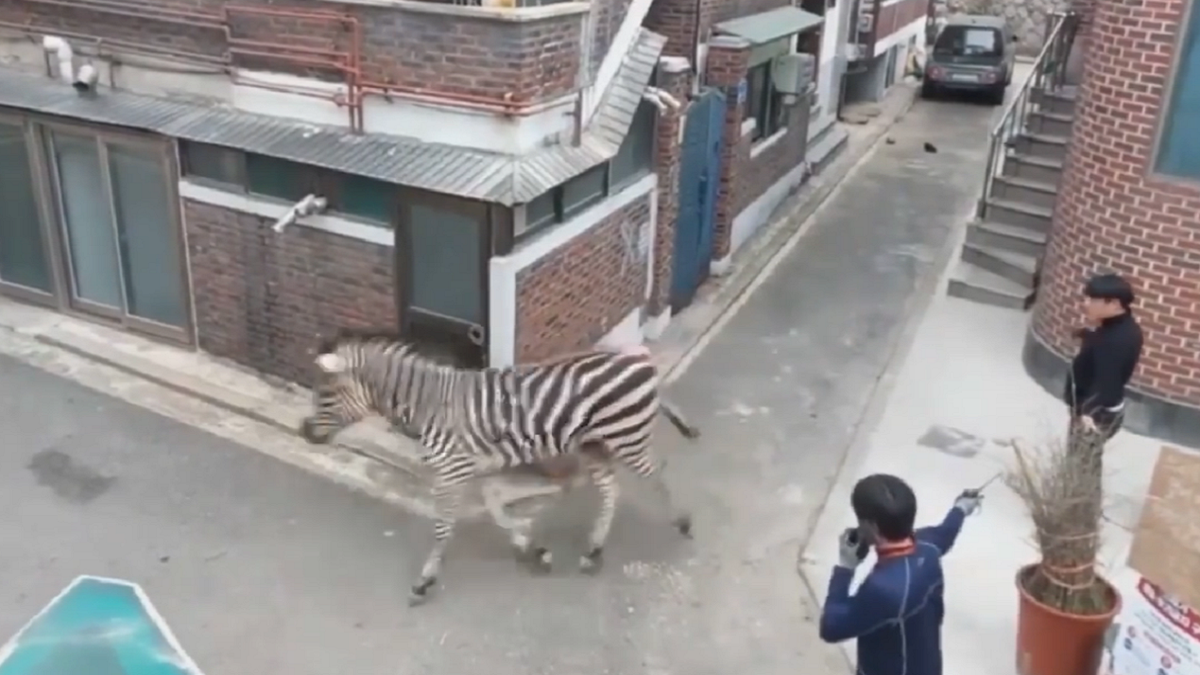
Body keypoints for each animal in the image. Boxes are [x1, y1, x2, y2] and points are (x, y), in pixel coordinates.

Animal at [295, 326, 700, 605]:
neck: (430, 405)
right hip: (595, 446)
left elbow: (444, 527)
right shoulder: (473, 468)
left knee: (656, 473)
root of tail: (640, 356)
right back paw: (593, 552)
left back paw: (682, 522)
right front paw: (532, 549)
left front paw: (425, 581)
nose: (304, 432)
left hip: (625, 437)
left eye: (325, 394)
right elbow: (494, 508)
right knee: (611, 489)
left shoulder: (452, 472)